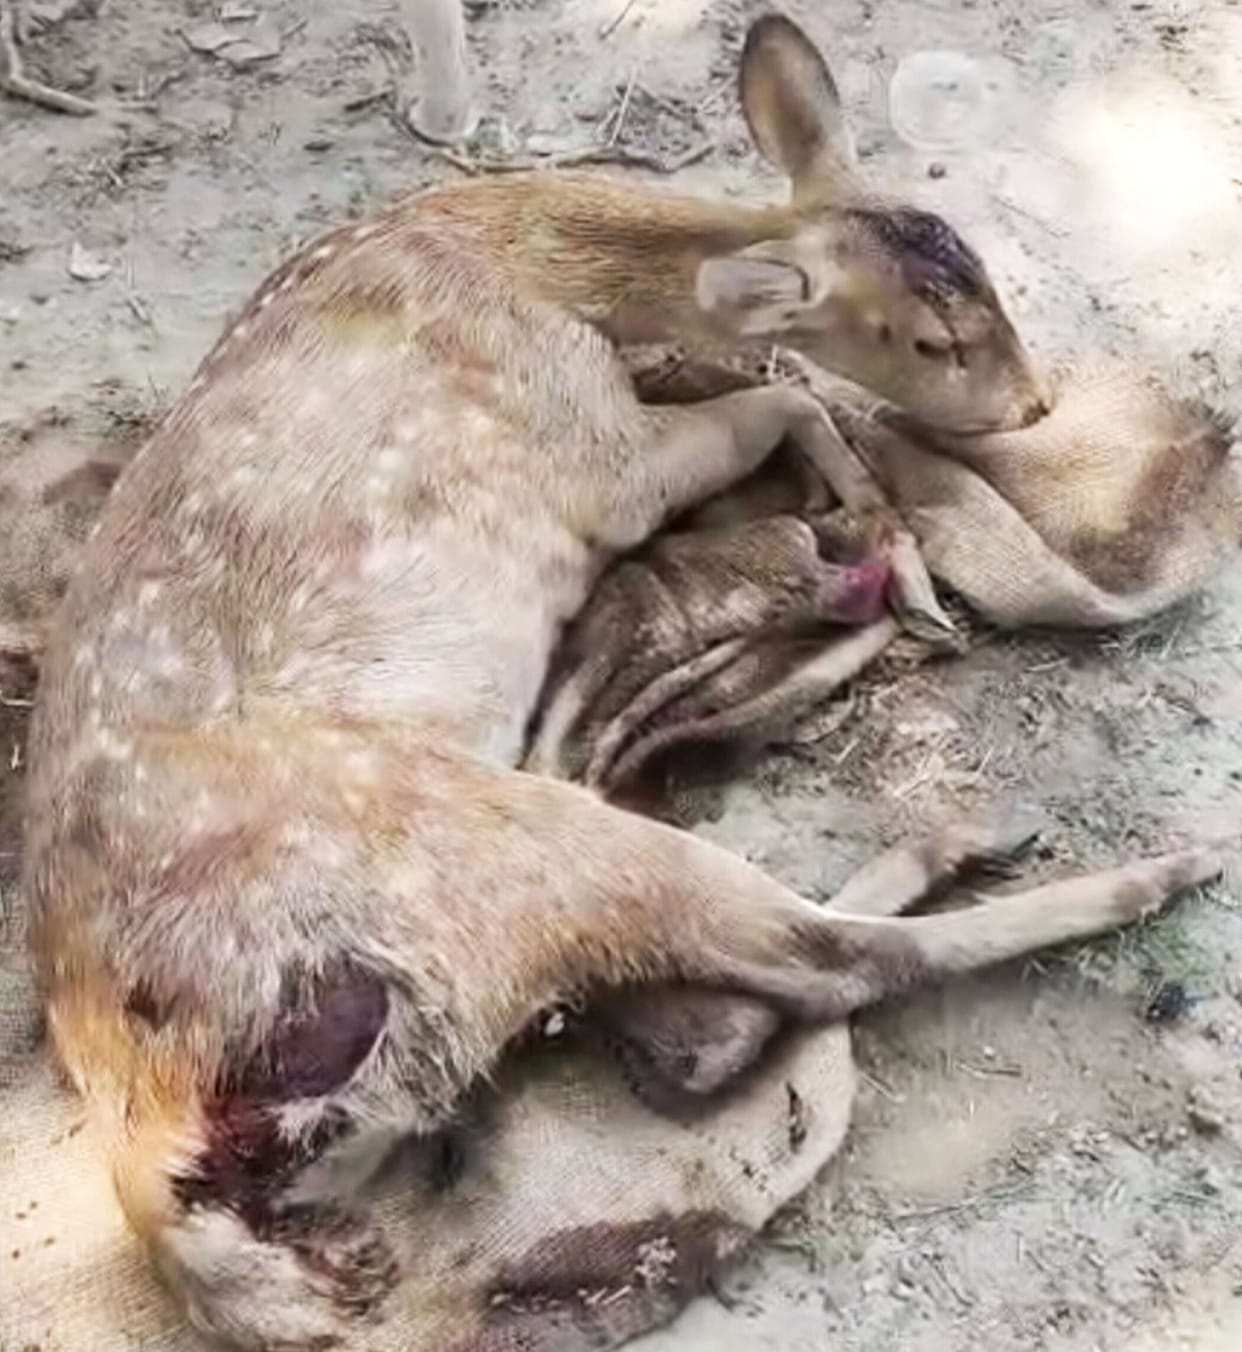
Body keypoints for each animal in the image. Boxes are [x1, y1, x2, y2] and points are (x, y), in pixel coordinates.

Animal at [23, 13, 1218, 1349]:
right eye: (936, 338)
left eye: (993, 285)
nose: (1035, 400)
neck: (532, 264)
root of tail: (162, 1168)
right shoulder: (597, 461)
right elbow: (783, 393)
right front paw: (893, 551)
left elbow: (784, 391)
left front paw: (885, 547)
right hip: (470, 853)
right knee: (809, 965)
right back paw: (1110, 858)